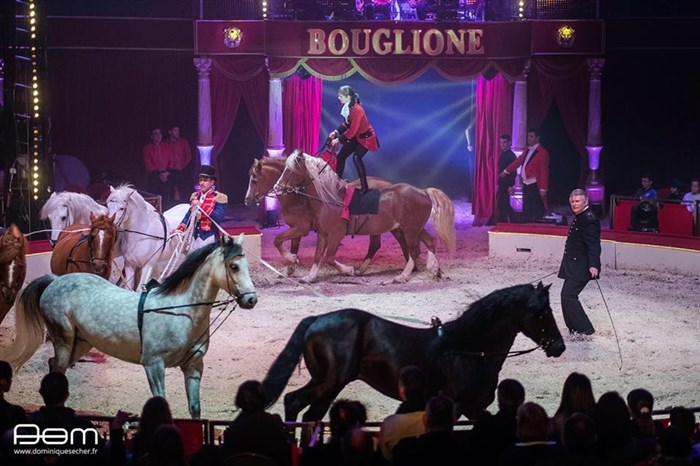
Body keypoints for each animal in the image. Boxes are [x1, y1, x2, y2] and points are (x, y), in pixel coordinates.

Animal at [1, 234, 257, 419]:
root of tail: (55, 281)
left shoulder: (194, 367)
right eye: (234, 266)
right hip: (63, 340)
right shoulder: (154, 365)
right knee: (58, 368)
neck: (181, 311)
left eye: (246, 264)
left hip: (81, 344)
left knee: (55, 367)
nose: (251, 299)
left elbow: (195, 409)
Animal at [262, 282, 565, 422]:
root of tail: (316, 320)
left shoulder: (473, 408)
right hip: (329, 382)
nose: (559, 346)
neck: (469, 350)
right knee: (292, 401)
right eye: (543, 312)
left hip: (329, 386)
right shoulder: (454, 405)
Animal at [274, 151, 456, 283]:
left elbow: (329, 258)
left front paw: (349, 270)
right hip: (415, 228)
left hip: (410, 230)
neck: (331, 198)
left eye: (290, 170)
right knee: (430, 242)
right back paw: (435, 270)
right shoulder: (323, 234)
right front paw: (309, 277)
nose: (277, 188)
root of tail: (424, 191)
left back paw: (402, 276)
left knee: (414, 251)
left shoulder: (335, 234)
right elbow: (318, 256)